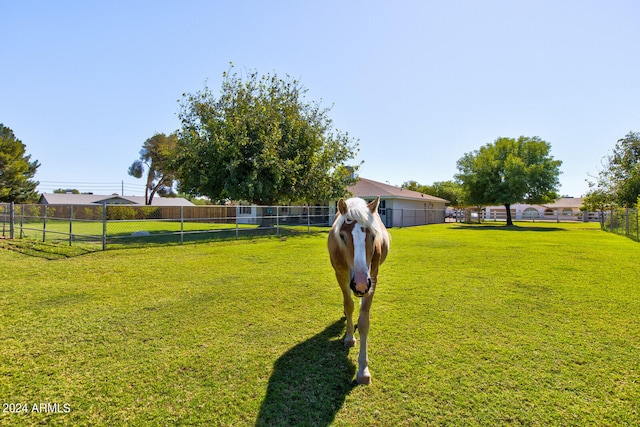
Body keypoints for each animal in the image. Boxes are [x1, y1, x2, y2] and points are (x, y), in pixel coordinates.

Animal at [330, 196, 390, 384]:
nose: (361, 284)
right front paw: (349, 338)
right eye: (342, 236)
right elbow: (349, 306)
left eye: (373, 235)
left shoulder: (373, 278)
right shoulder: (341, 275)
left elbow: (364, 321)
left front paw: (363, 370)